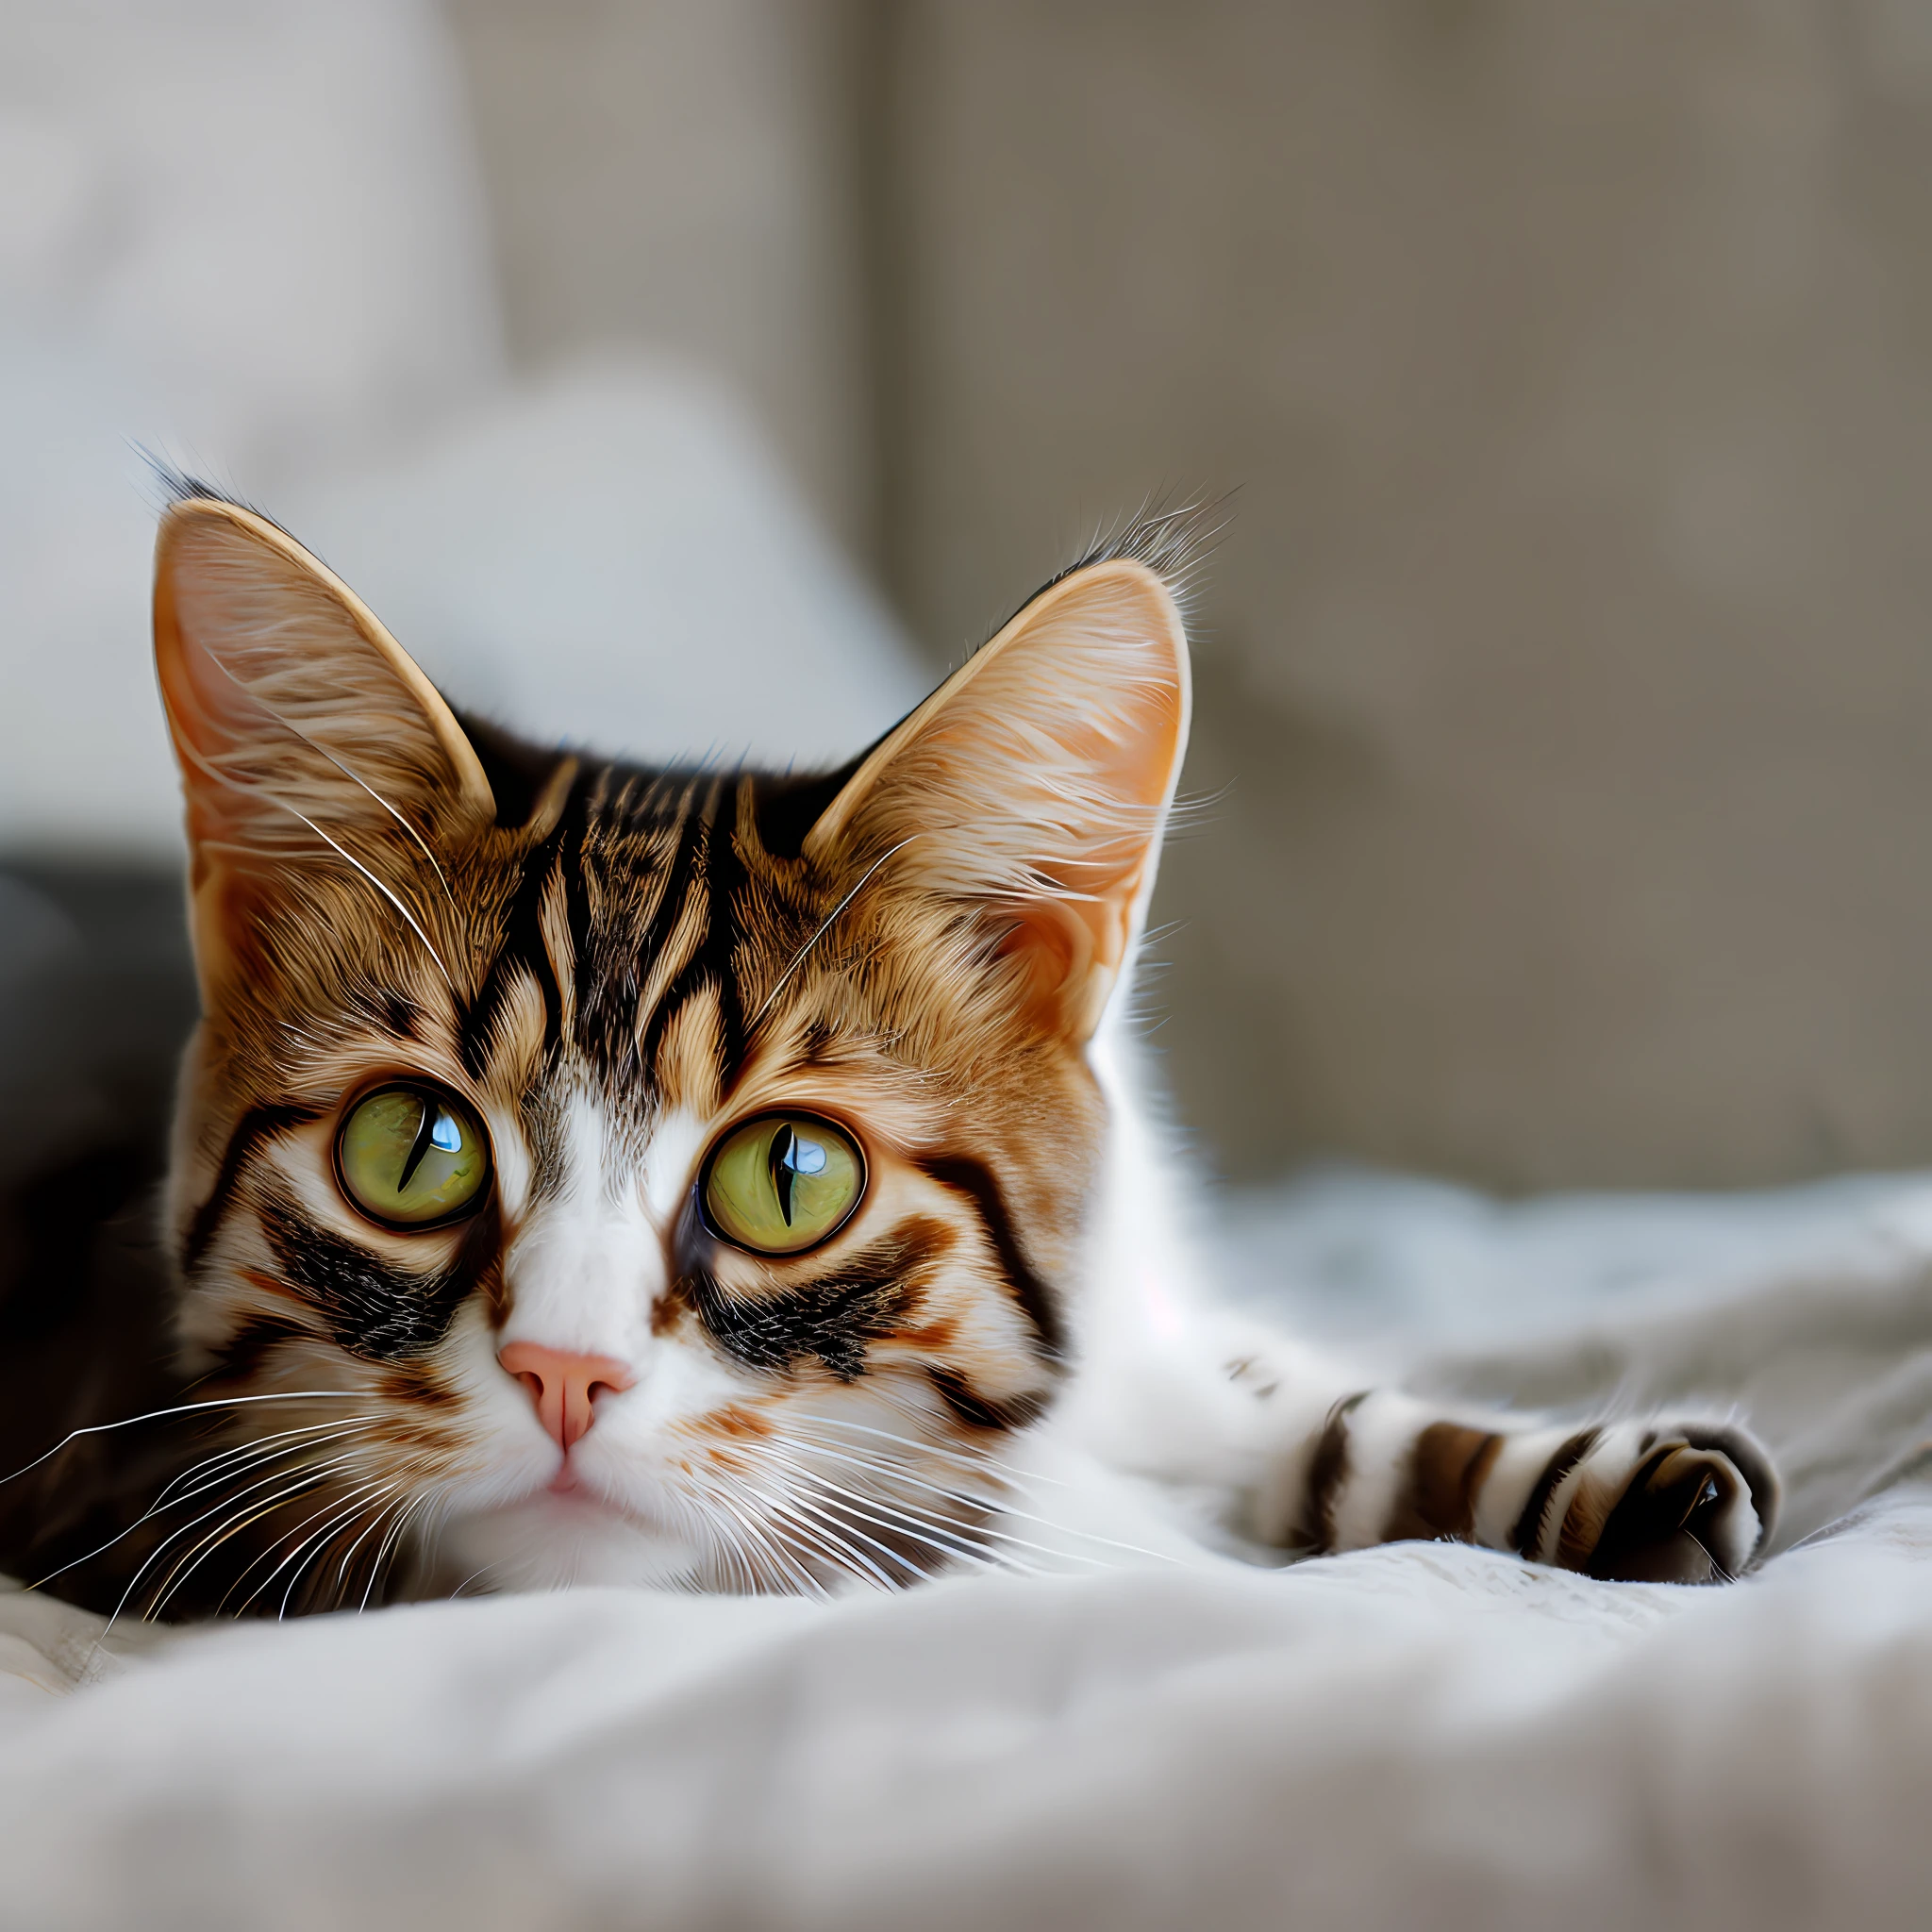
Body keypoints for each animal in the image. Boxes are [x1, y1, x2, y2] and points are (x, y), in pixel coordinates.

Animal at [0, 487, 1777, 1615]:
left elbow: (1288, 1398)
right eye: (410, 1151)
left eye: (790, 1175)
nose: (565, 1374)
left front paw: (1604, 1473)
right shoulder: (138, 1482)